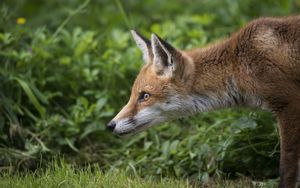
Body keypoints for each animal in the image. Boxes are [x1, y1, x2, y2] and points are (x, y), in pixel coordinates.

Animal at [106, 15, 300, 187]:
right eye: (133, 95)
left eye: (145, 96)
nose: (110, 125)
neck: (237, 65)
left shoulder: (289, 103)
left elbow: (287, 167)